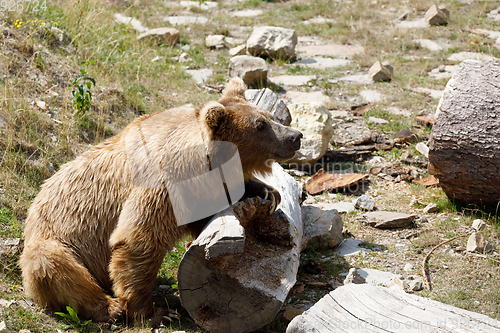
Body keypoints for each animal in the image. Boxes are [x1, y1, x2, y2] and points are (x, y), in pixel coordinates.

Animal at [18, 77, 300, 322]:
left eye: (271, 117)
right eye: (259, 125)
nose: (295, 136)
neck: (199, 166)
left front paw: (266, 191)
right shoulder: (164, 185)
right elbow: (139, 238)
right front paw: (155, 313)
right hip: (56, 242)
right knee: (54, 266)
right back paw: (110, 308)